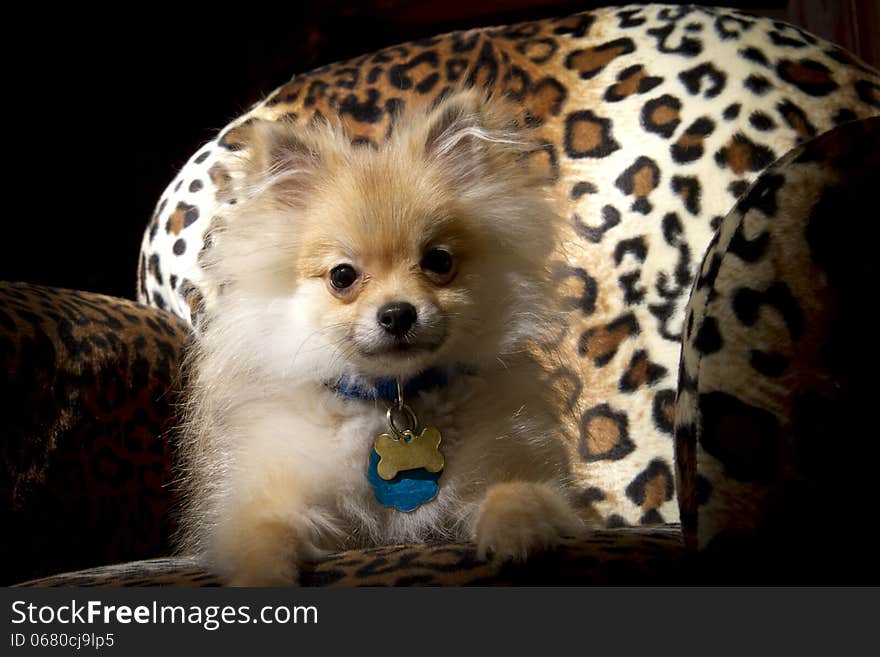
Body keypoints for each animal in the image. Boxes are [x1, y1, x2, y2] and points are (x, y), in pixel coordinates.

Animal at [174, 88, 580, 584]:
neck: (393, 400)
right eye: (342, 276)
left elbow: (520, 492)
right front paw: (263, 574)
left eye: (439, 261)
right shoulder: (272, 495)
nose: (397, 313)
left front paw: (520, 533)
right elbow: (264, 533)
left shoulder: (514, 467)